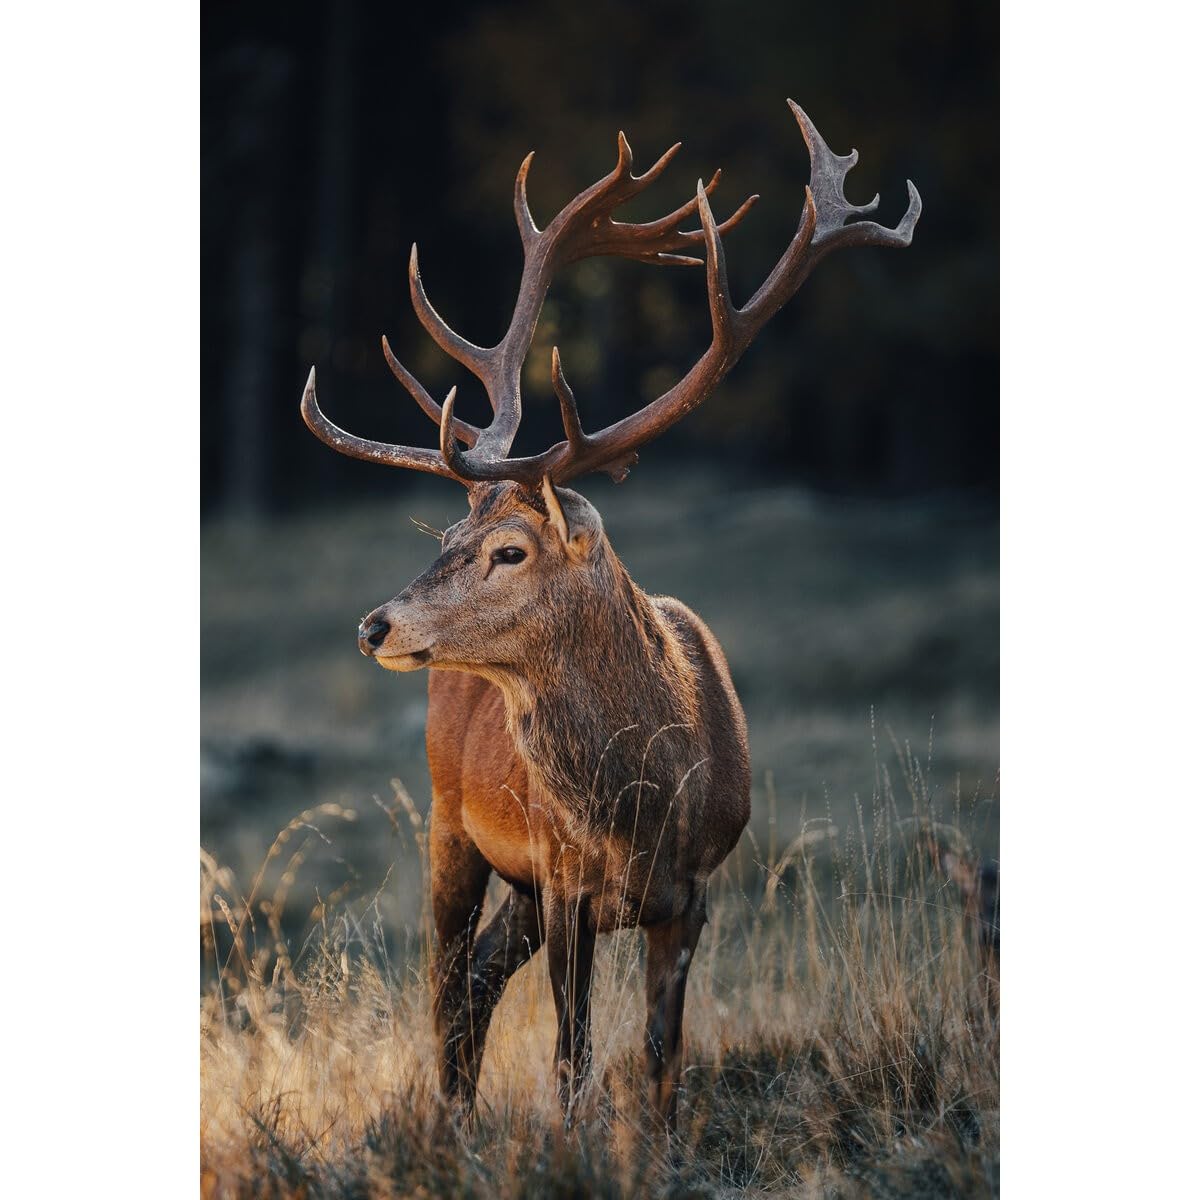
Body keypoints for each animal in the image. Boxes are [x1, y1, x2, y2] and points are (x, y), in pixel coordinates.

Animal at [300, 100, 920, 1133]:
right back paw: (449, 1124)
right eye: (449, 535)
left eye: (511, 551)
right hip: (449, 824)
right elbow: (572, 1059)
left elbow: (662, 1057)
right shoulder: (563, 882)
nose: (375, 626)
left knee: (473, 983)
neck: (644, 806)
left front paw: (656, 1144)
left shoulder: (694, 891)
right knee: (445, 986)